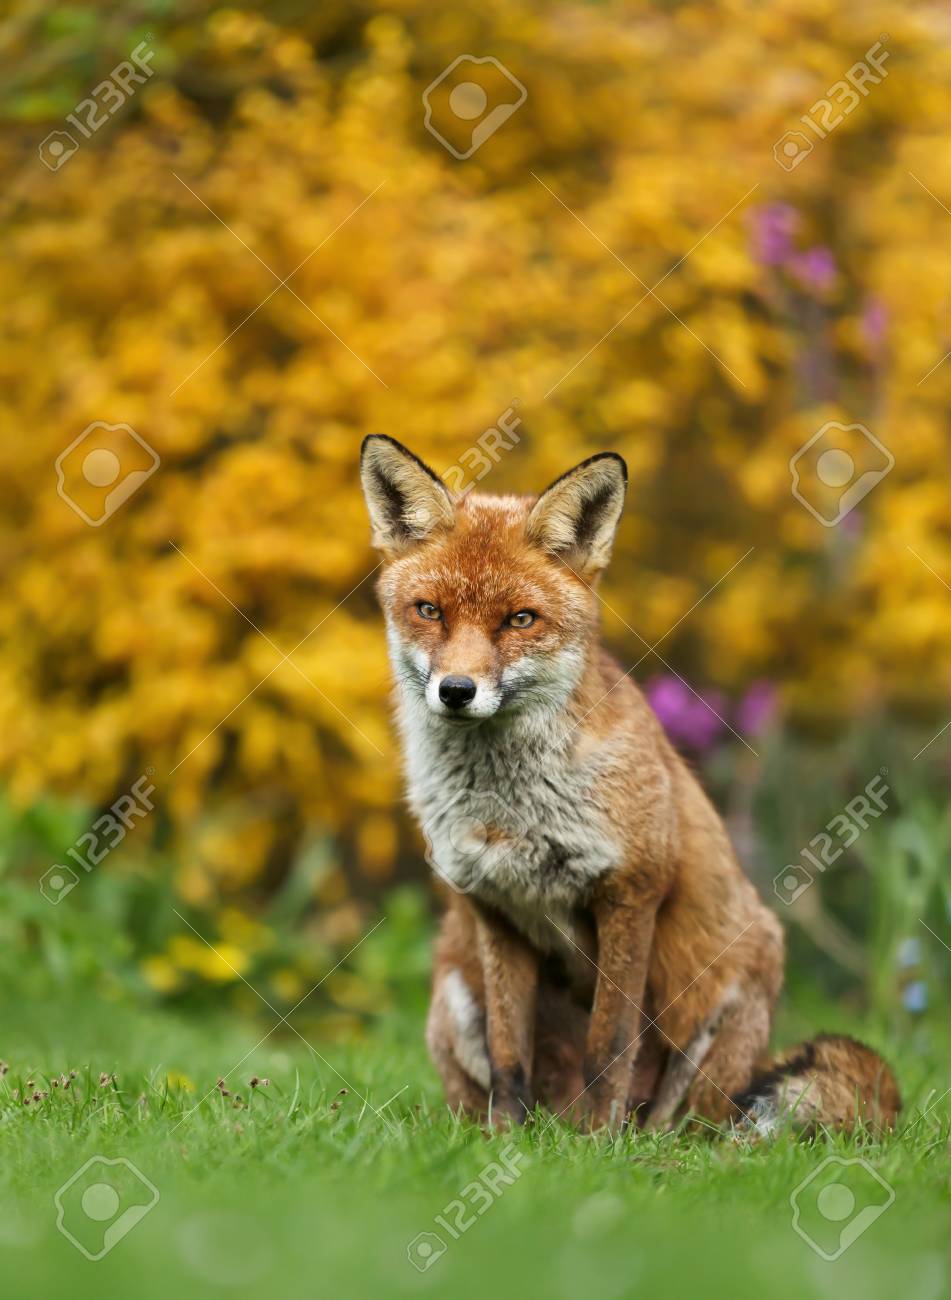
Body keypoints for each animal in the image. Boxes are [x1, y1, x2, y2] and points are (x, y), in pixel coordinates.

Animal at [360, 434, 901, 1136]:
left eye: (520, 620)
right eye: (429, 611)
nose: (456, 691)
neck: (512, 811)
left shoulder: (631, 893)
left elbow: (609, 1045)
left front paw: (598, 1146)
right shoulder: (494, 907)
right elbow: (510, 1057)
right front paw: (505, 1144)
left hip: (733, 991)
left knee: (704, 1128)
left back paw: (632, 1139)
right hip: (451, 988)